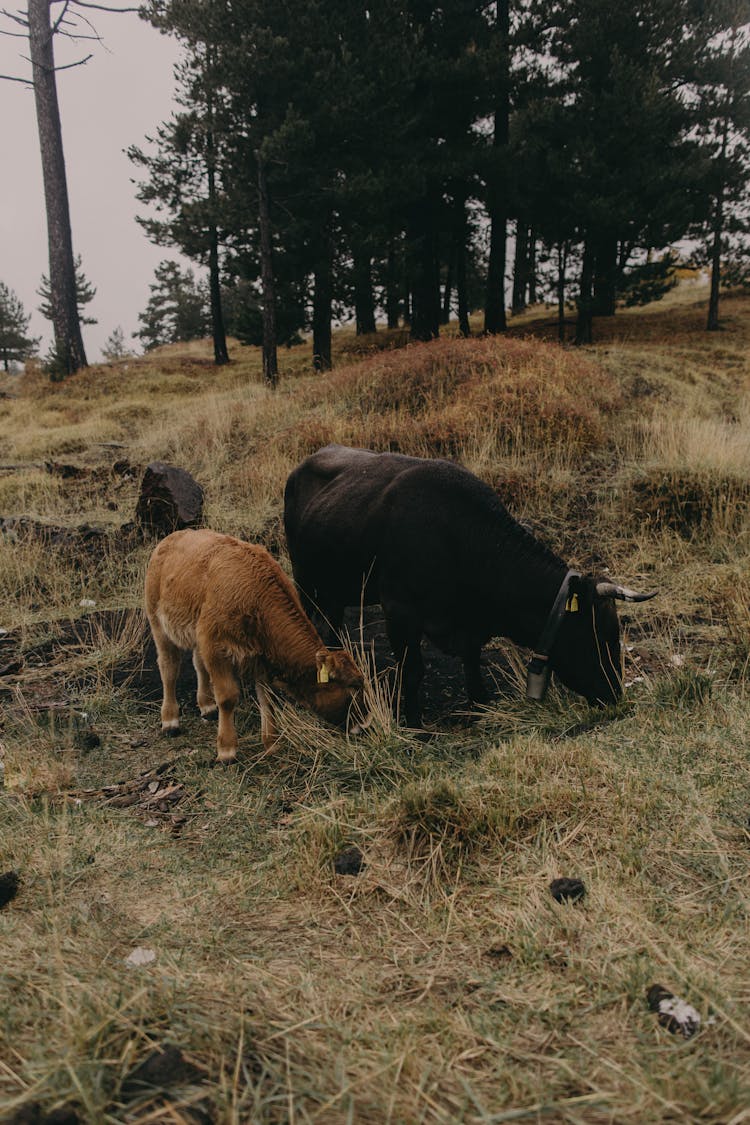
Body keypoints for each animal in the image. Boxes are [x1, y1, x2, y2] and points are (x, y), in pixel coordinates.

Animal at [145, 528, 368, 765]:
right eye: (353, 688)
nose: (365, 725)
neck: (255, 596)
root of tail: (172, 538)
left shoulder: (258, 656)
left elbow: (267, 699)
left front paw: (272, 744)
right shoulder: (216, 648)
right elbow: (227, 697)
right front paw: (227, 750)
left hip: (196, 634)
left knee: (198, 664)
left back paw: (207, 706)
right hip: (158, 624)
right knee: (169, 668)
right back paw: (170, 720)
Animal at [284, 443, 652, 724]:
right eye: (598, 635)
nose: (615, 695)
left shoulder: (470, 627)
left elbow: (472, 660)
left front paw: (480, 706)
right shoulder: (400, 611)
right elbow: (412, 671)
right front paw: (414, 724)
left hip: (336, 588)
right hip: (305, 581)